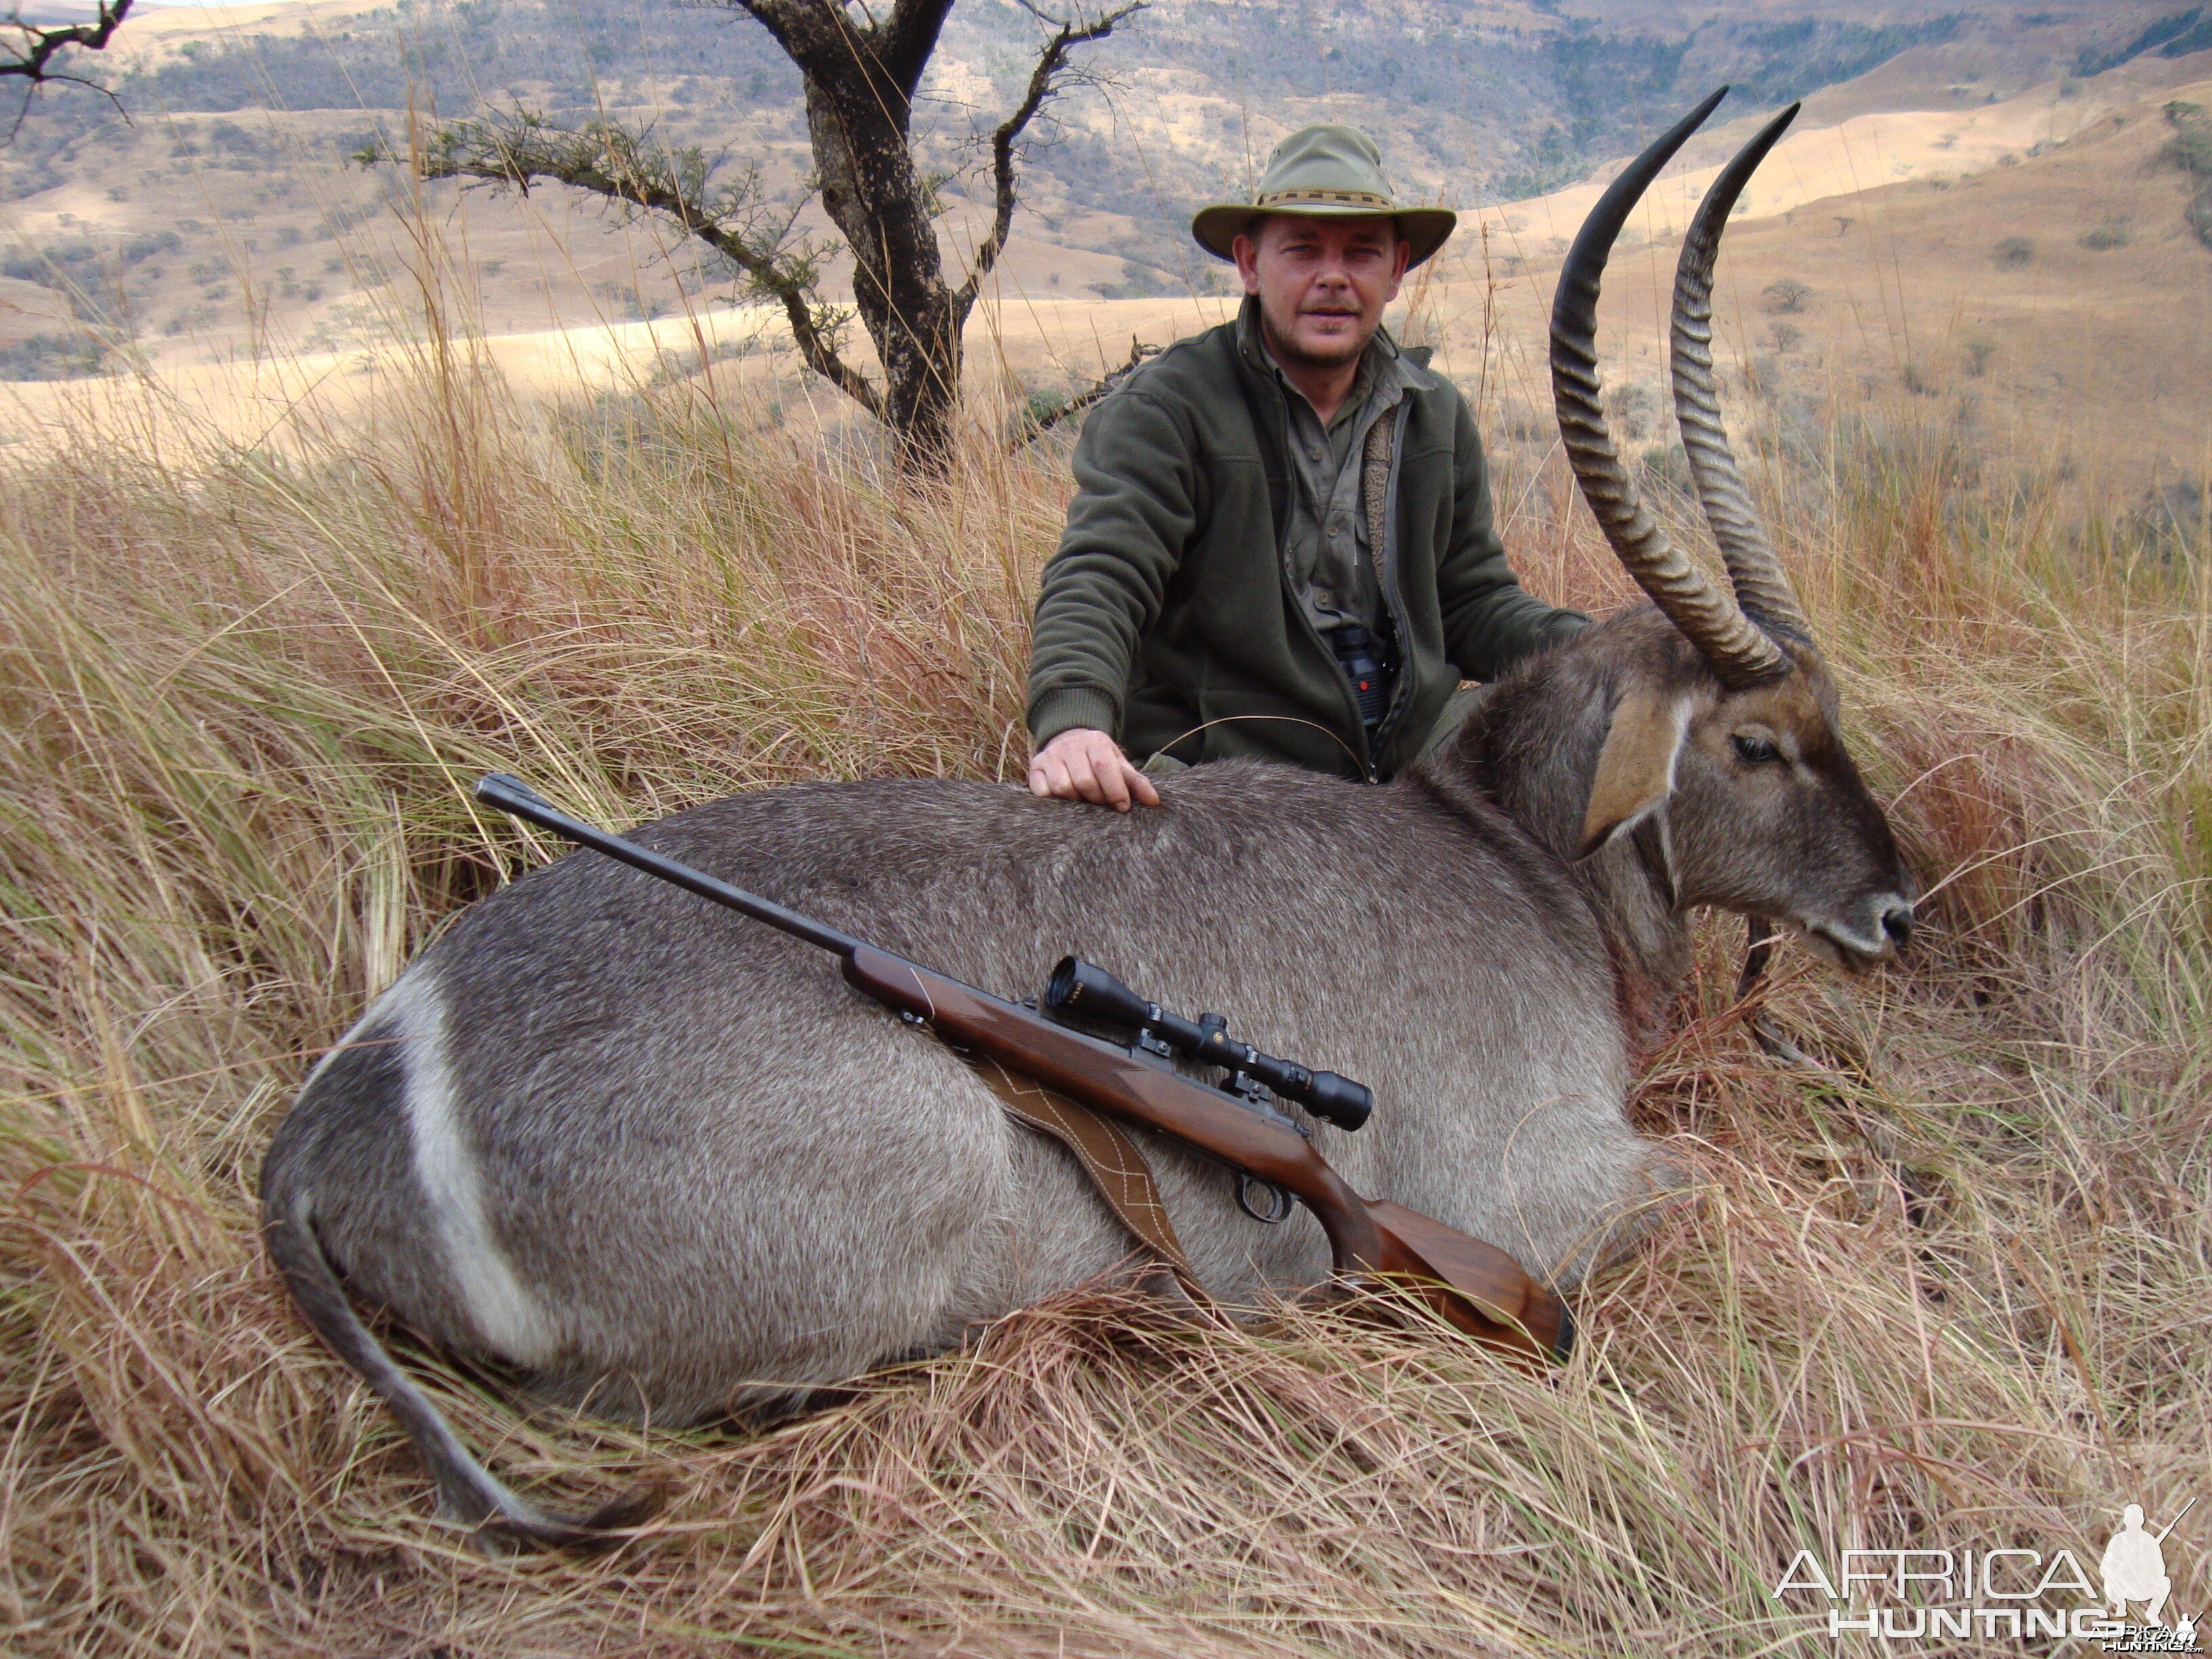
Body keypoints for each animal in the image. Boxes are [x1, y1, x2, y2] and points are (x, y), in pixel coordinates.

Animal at [258, 87, 1911, 1548]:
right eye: (1756, 740)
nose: (1898, 908)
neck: (1506, 852)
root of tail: (351, 1091)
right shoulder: (1535, 1186)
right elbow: (1717, 1192)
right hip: (935, 1163)